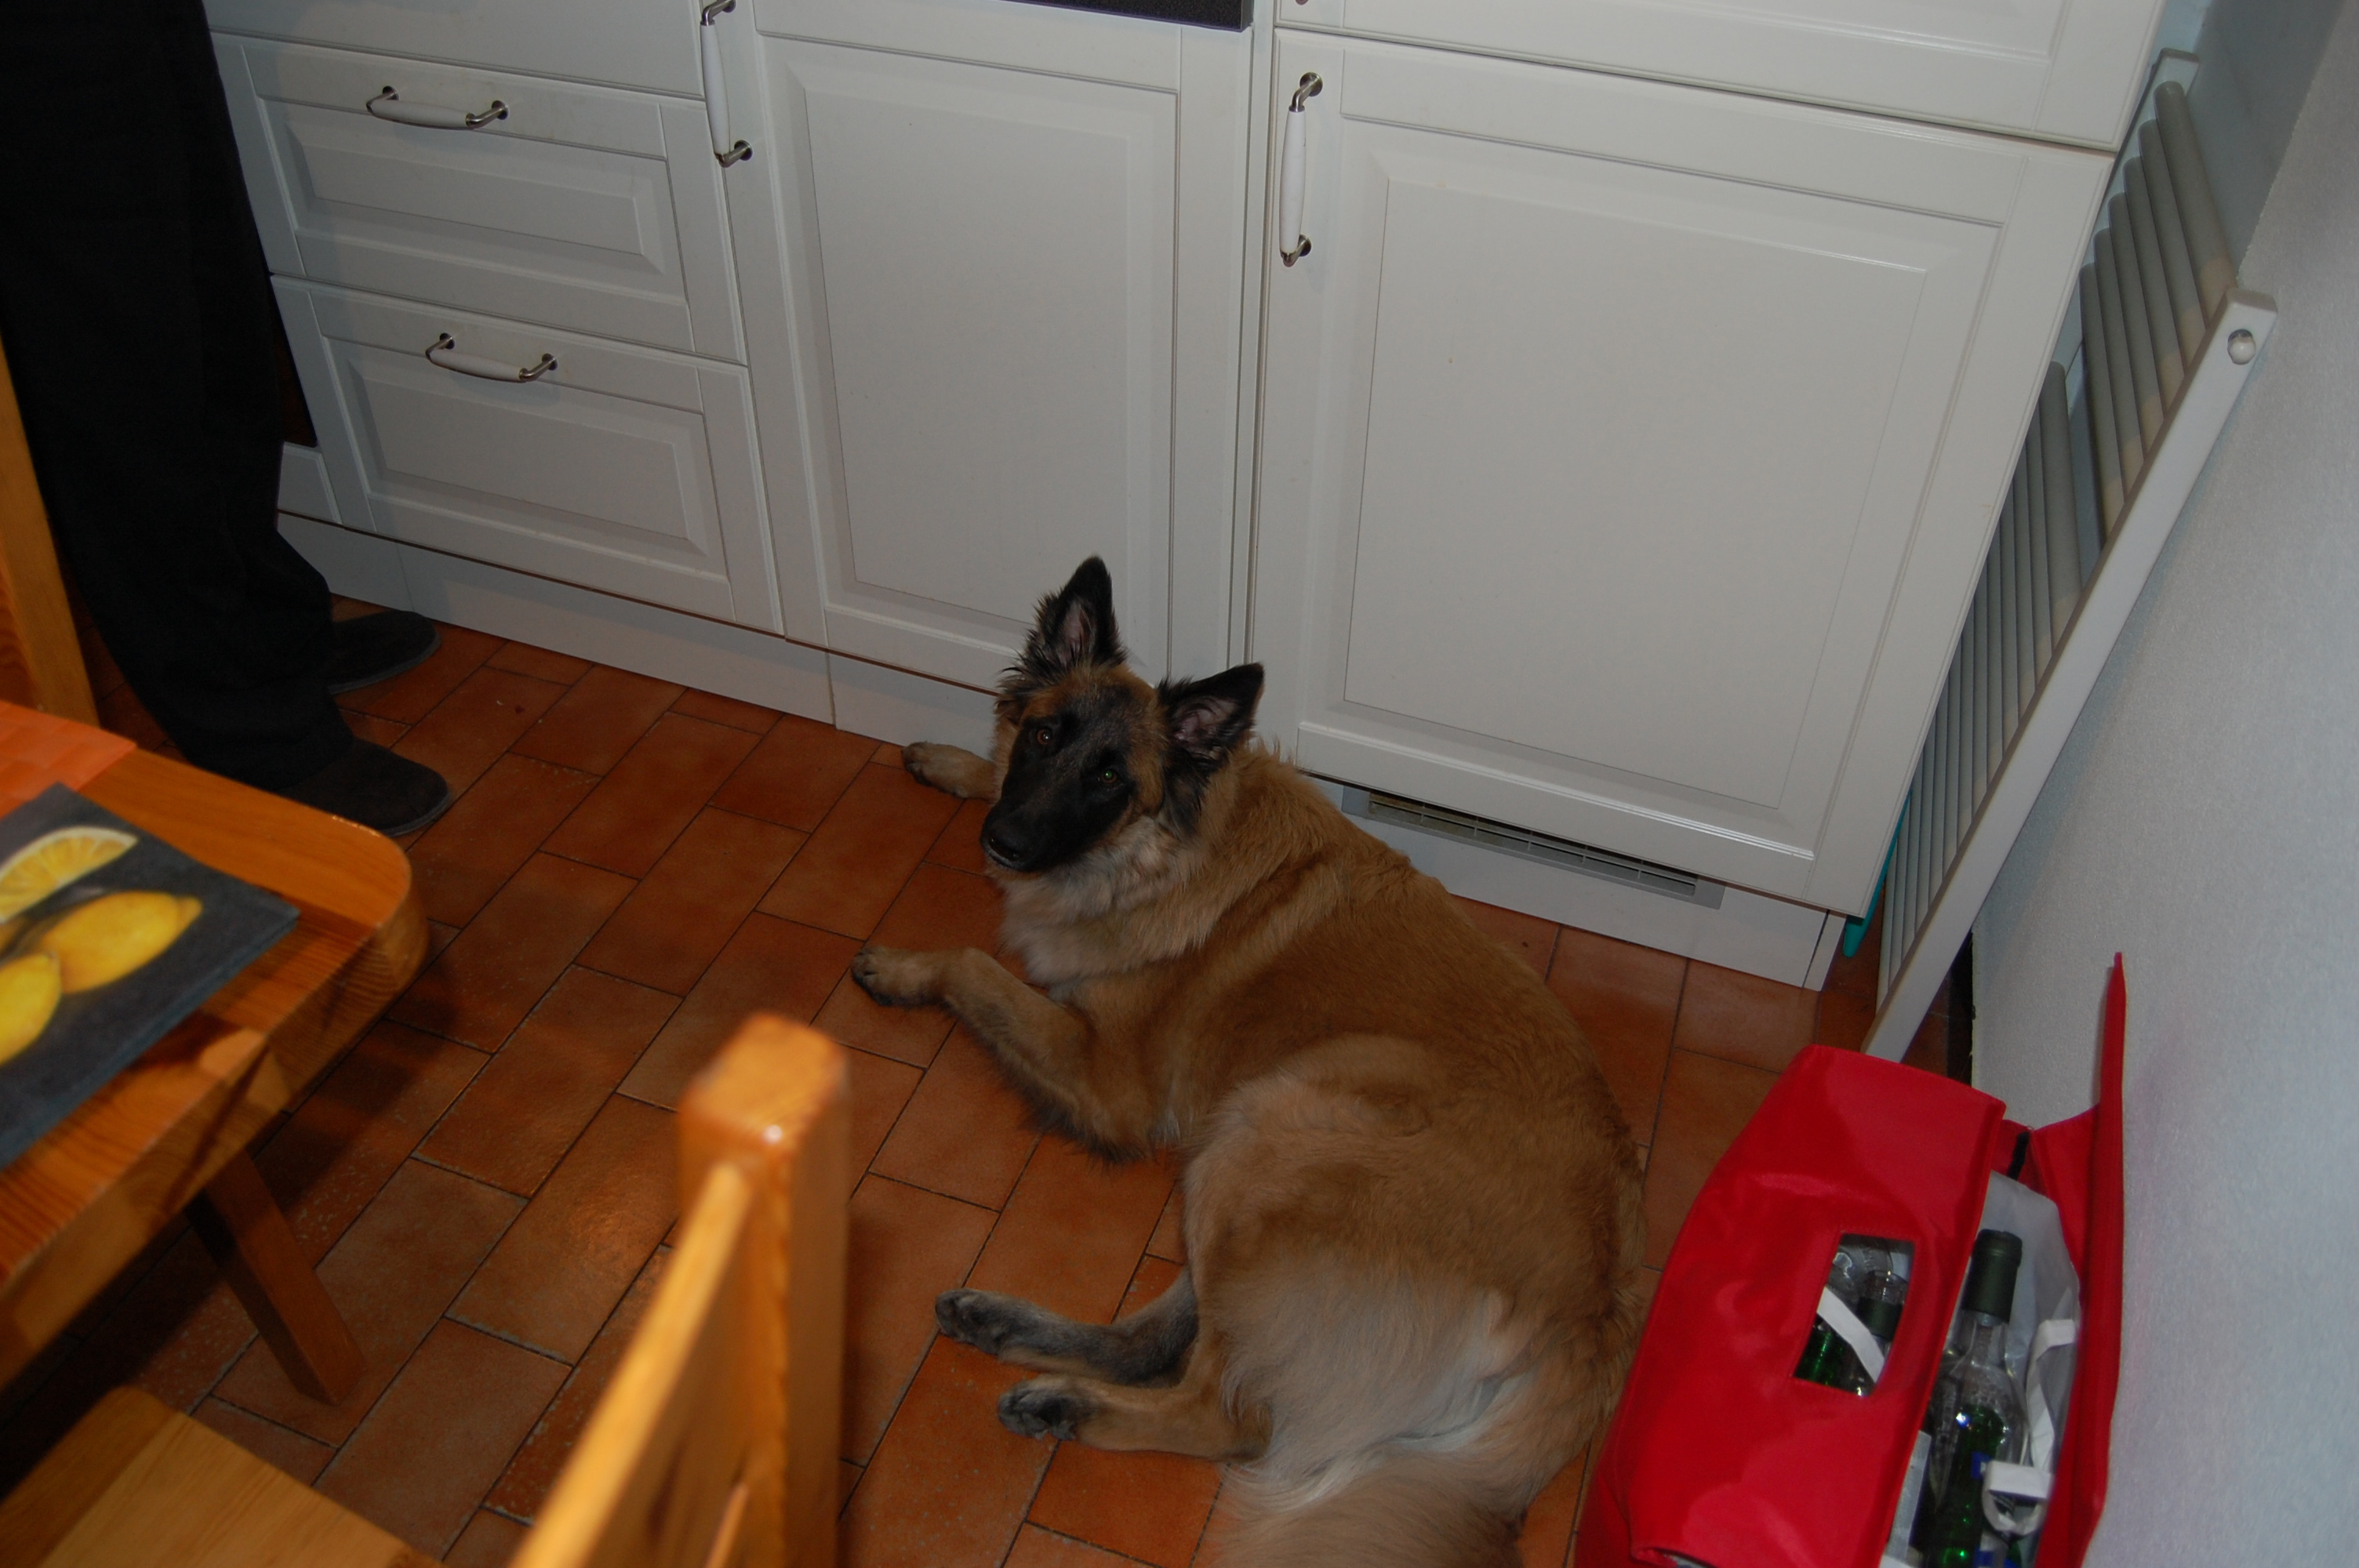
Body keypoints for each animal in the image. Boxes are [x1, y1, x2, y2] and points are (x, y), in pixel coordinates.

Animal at [850, 558, 1645, 1567]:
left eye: (1110, 779)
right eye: (1044, 735)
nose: (1007, 842)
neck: (1164, 847)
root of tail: (1599, 1312)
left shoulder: (1109, 1079)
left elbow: (970, 963)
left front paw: (901, 966)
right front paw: (947, 759)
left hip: (1271, 1129)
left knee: (1227, 1412)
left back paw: (1071, 1403)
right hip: (1238, 1173)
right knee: (1161, 1340)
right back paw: (1008, 1329)